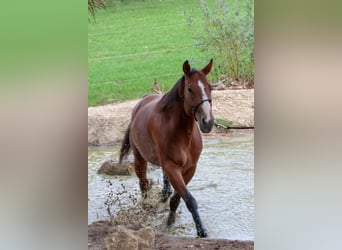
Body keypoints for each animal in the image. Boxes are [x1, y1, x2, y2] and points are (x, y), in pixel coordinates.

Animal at [119, 59, 212, 238]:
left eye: (209, 87)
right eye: (190, 89)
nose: (208, 122)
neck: (182, 134)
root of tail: (141, 102)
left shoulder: (190, 169)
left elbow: (176, 198)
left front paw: (170, 221)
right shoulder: (172, 167)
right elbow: (189, 199)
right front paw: (201, 230)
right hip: (139, 158)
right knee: (143, 184)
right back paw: (147, 206)